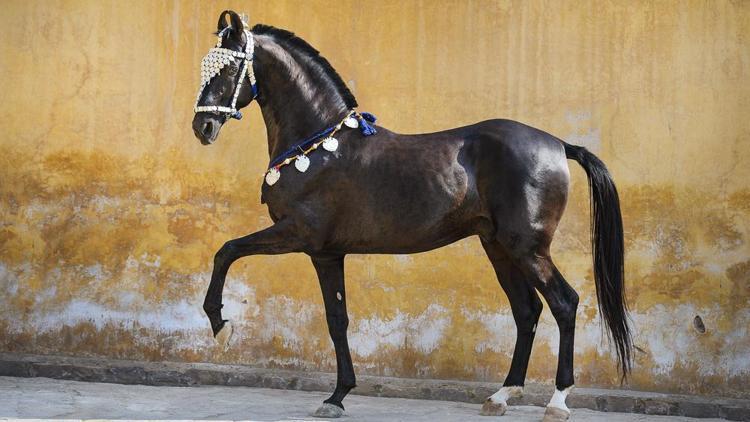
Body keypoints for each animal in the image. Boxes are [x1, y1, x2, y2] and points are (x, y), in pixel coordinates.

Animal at [191, 10, 632, 422]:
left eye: (227, 68)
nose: (203, 126)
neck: (318, 145)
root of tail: (558, 144)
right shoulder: (326, 253)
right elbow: (337, 319)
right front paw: (338, 396)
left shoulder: (296, 234)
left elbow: (226, 251)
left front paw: (221, 326)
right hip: (499, 248)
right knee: (527, 311)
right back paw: (502, 396)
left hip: (528, 249)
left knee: (564, 303)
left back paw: (558, 401)